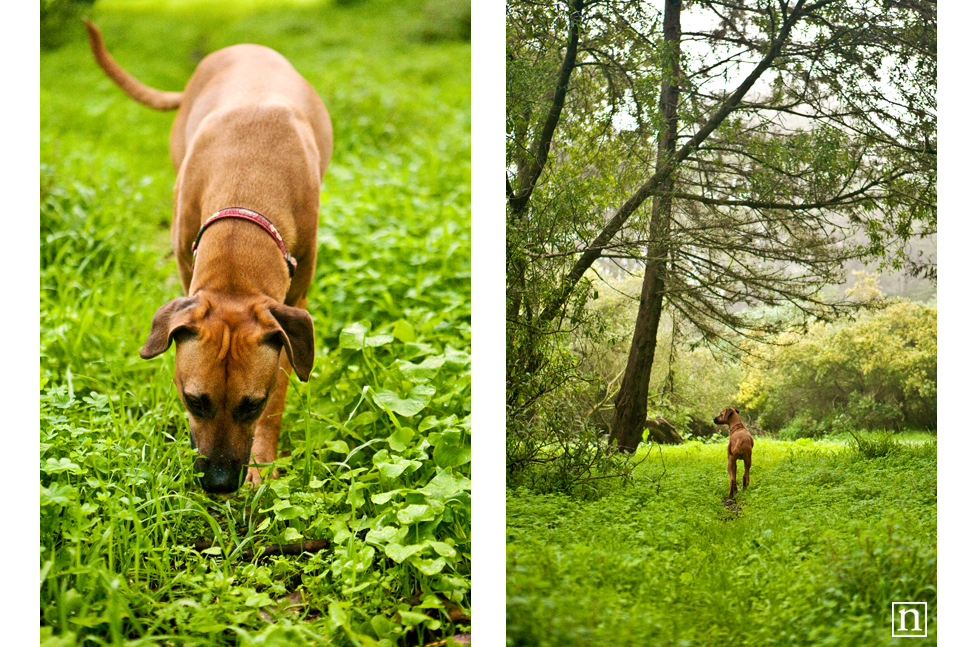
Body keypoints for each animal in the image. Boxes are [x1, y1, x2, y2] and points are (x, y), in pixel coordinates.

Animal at [88, 21, 336, 496]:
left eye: (251, 405)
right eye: (194, 400)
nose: (220, 483)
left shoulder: (293, 310)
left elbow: (281, 389)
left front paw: (263, 464)